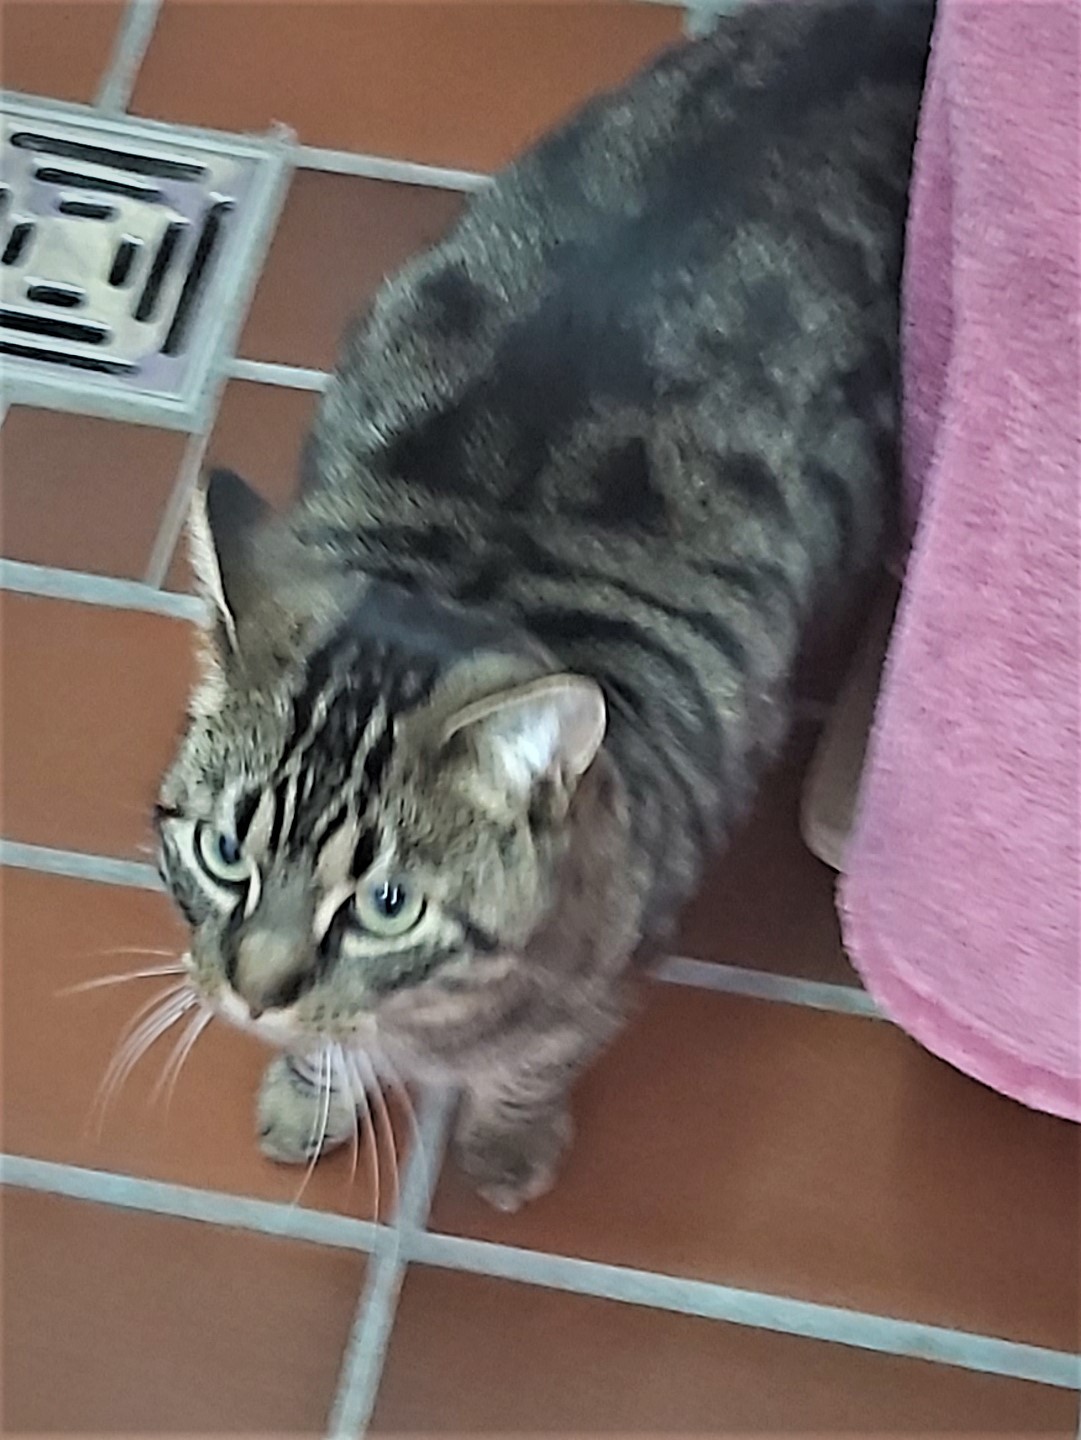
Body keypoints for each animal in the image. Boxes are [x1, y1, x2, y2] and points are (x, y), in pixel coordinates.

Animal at [156, 0, 934, 1210]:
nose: (253, 990)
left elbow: (542, 1051)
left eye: (387, 906)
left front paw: (505, 1141)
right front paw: (310, 1084)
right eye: (224, 853)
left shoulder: (617, 948)